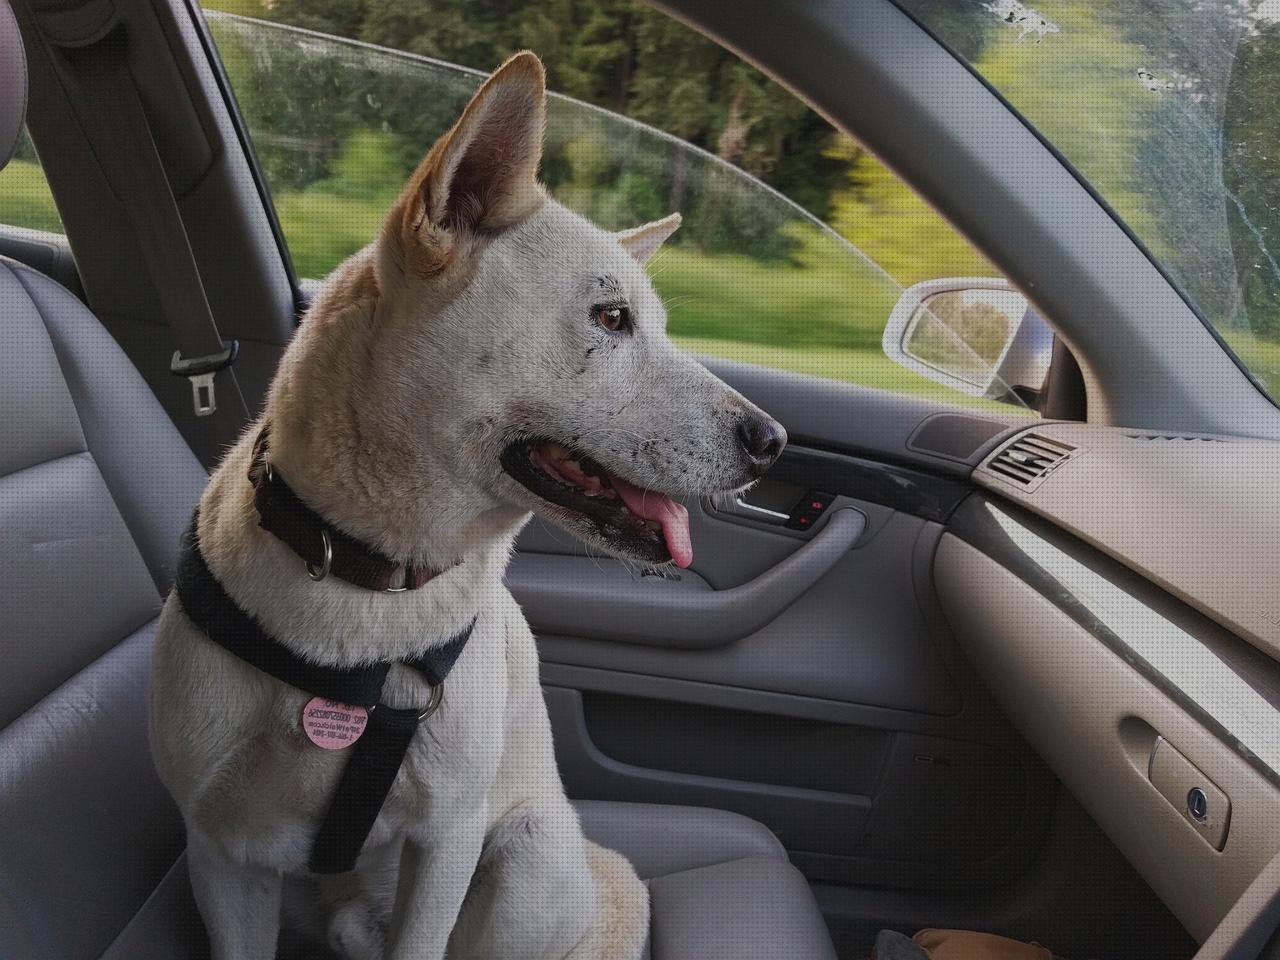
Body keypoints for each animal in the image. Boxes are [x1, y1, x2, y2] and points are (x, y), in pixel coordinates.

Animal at [151, 52, 788, 960]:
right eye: (611, 317)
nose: (774, 441)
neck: (364, 584)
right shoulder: (221, 858)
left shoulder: (446, 838)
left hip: (527, 852)